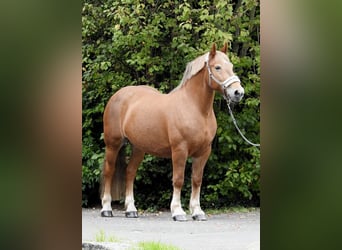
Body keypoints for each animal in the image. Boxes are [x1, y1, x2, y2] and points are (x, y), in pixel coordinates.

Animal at [100, 43, 244, 221]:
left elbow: (197, 180)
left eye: (231, 66)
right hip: (113, 144)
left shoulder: (204, 152)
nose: (238, 92)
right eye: (217, 67)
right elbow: (178, 179)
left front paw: (197, 212)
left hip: (139, 148)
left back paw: (131, 210)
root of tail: (118, 95)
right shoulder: (179, 150)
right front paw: (178, 211)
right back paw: (107, 208)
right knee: (109, 171)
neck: (196, 108)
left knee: (130, 172)